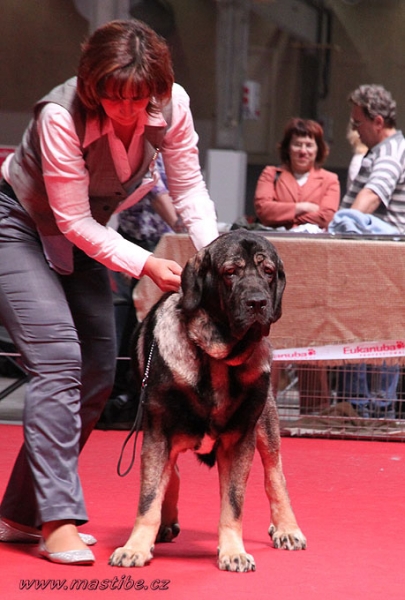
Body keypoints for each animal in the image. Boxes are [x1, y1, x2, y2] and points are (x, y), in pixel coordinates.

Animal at [109, 230, 304, 572]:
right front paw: (135, 547)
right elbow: (149, 497)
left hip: (266, 423)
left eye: (268, 272)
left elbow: (233, 504)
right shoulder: (157, 434)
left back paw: (287, 528)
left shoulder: (240, 440)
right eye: (230, 273)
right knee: (170, 473)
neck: (216, 358)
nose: (258, 302)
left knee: (275, 476)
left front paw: (233, 552)